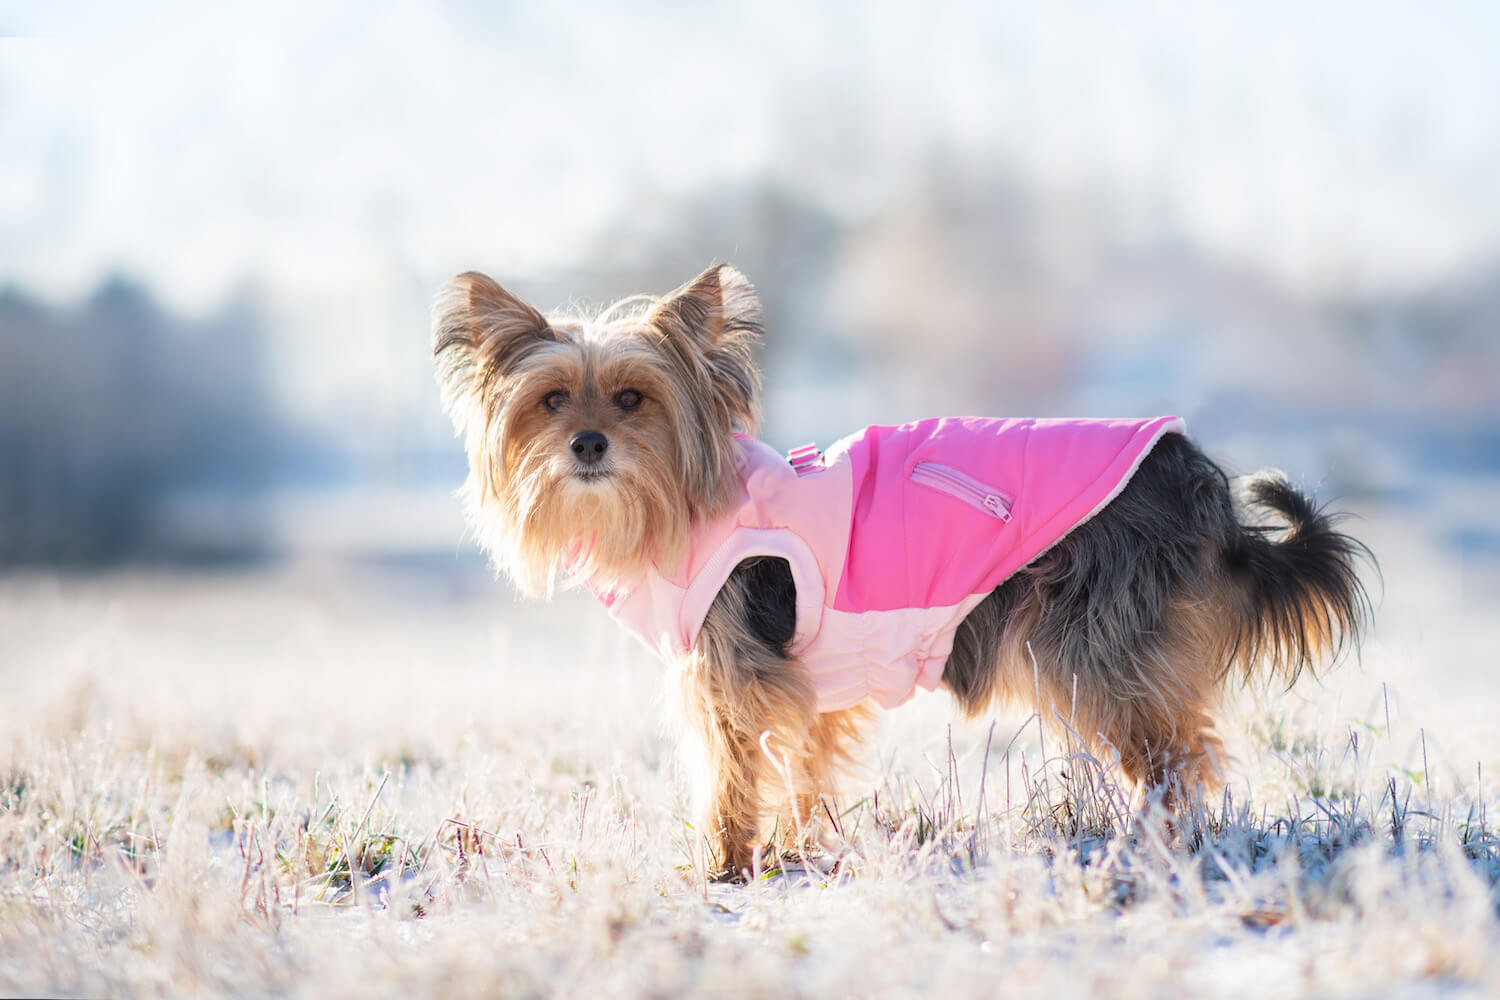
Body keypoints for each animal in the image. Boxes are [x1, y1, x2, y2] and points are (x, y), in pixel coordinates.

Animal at [432, 262, 1374, 881]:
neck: (685, 504)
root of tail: (1195, 478)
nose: (588, 444)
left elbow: (732, 773)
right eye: (552, 400)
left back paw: (1155, 850)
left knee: (1180, 760)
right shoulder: (808, 686)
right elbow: (804, 770)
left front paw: (728, 866)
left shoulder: (733, 670)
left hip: (1092, 649)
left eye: (633, 398)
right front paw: (797, 848)